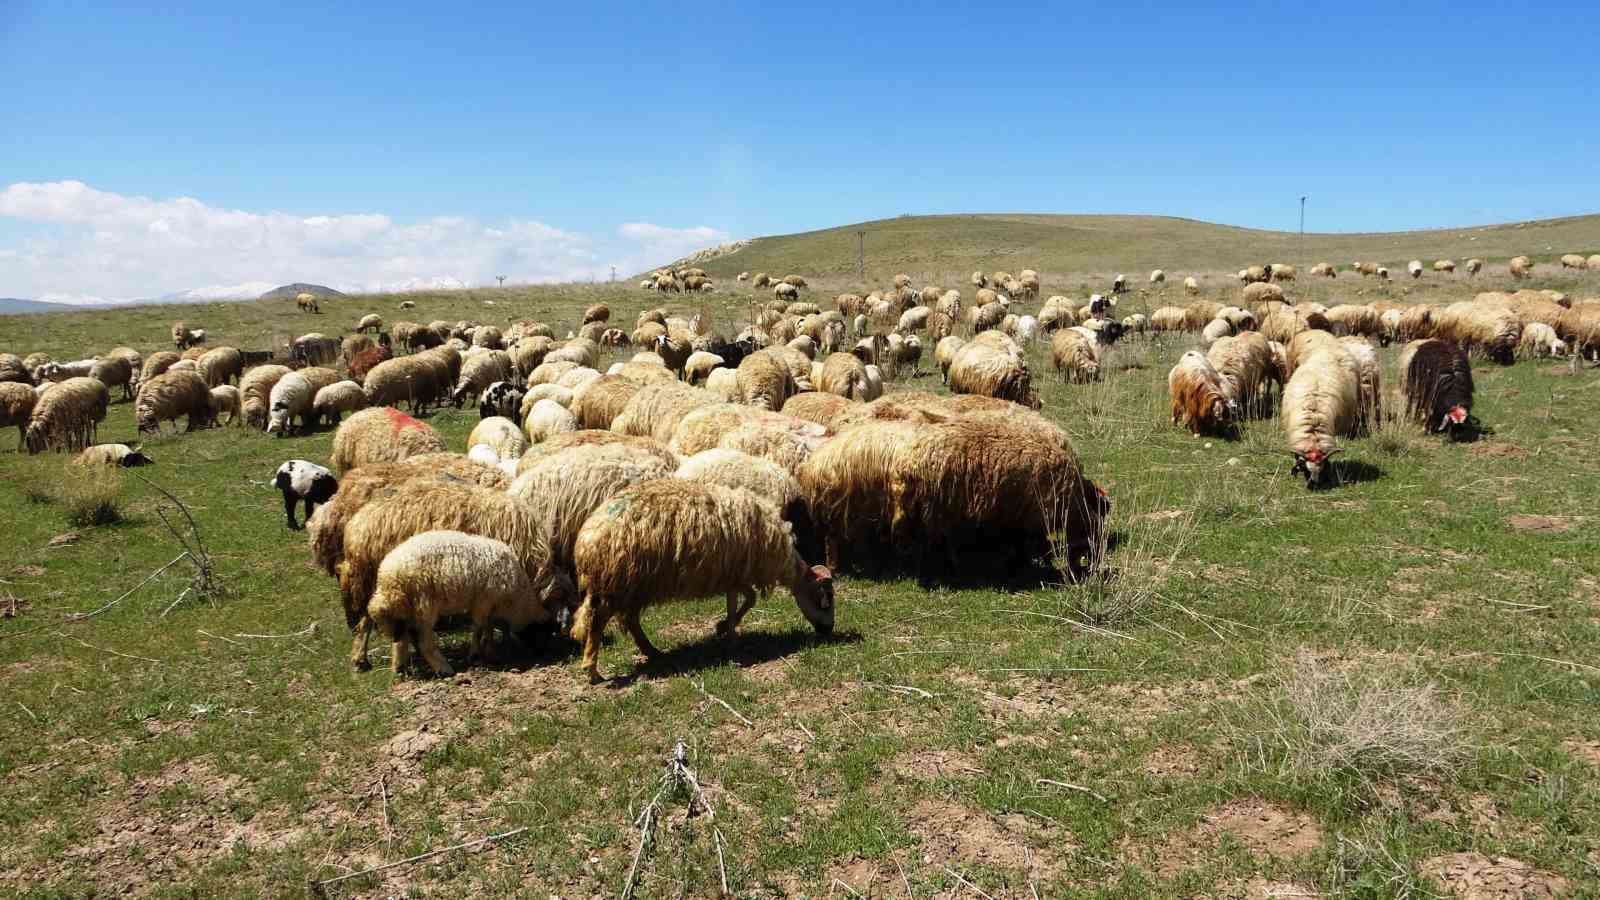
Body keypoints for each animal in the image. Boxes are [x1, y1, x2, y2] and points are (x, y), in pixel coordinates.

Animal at [337, 483, 576, 666]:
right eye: (548, 627)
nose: (542, 654)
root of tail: (355, 527)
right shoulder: (491, 585)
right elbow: (487, 623)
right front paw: (487, 651)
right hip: (378, 580)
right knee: (369, 618)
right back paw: (363, 658)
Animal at [569, 477, 838, 679]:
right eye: (825, 599)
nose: (828, 630)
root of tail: (586, 540)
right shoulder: (738, 572)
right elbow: (746, 600)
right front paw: (727, 634)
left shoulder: (734, 575)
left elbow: (743, 600)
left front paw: (726, 630)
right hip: (616, 583)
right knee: (597, 619)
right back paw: (592, 670)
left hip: (634, 585)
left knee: (630, 620)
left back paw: (653, 651)